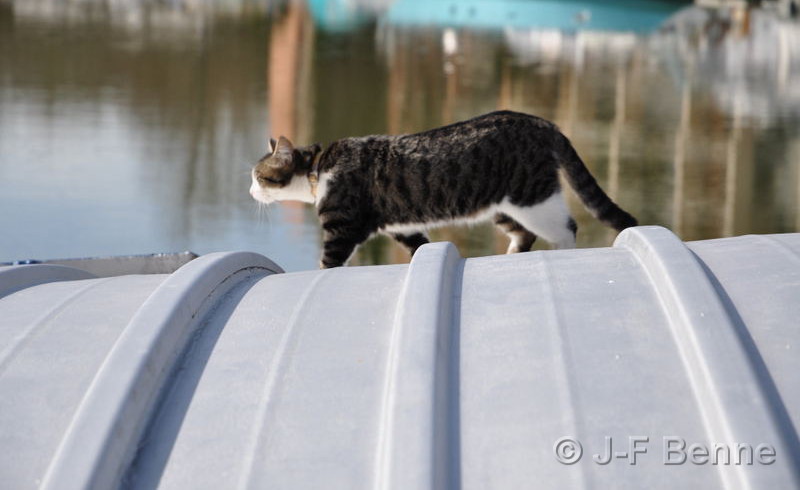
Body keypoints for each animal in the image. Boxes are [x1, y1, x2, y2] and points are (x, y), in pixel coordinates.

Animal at [250, 110, 636, 268]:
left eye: (257, 177)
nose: (251, 193)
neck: (319, 170)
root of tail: (544, 123)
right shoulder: (402, 227)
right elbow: (420, 246)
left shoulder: (342, 229)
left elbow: (327, 263)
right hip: (501, 206)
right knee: (524, 235)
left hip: (531, 197)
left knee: (567, 227)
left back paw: (563, 253)